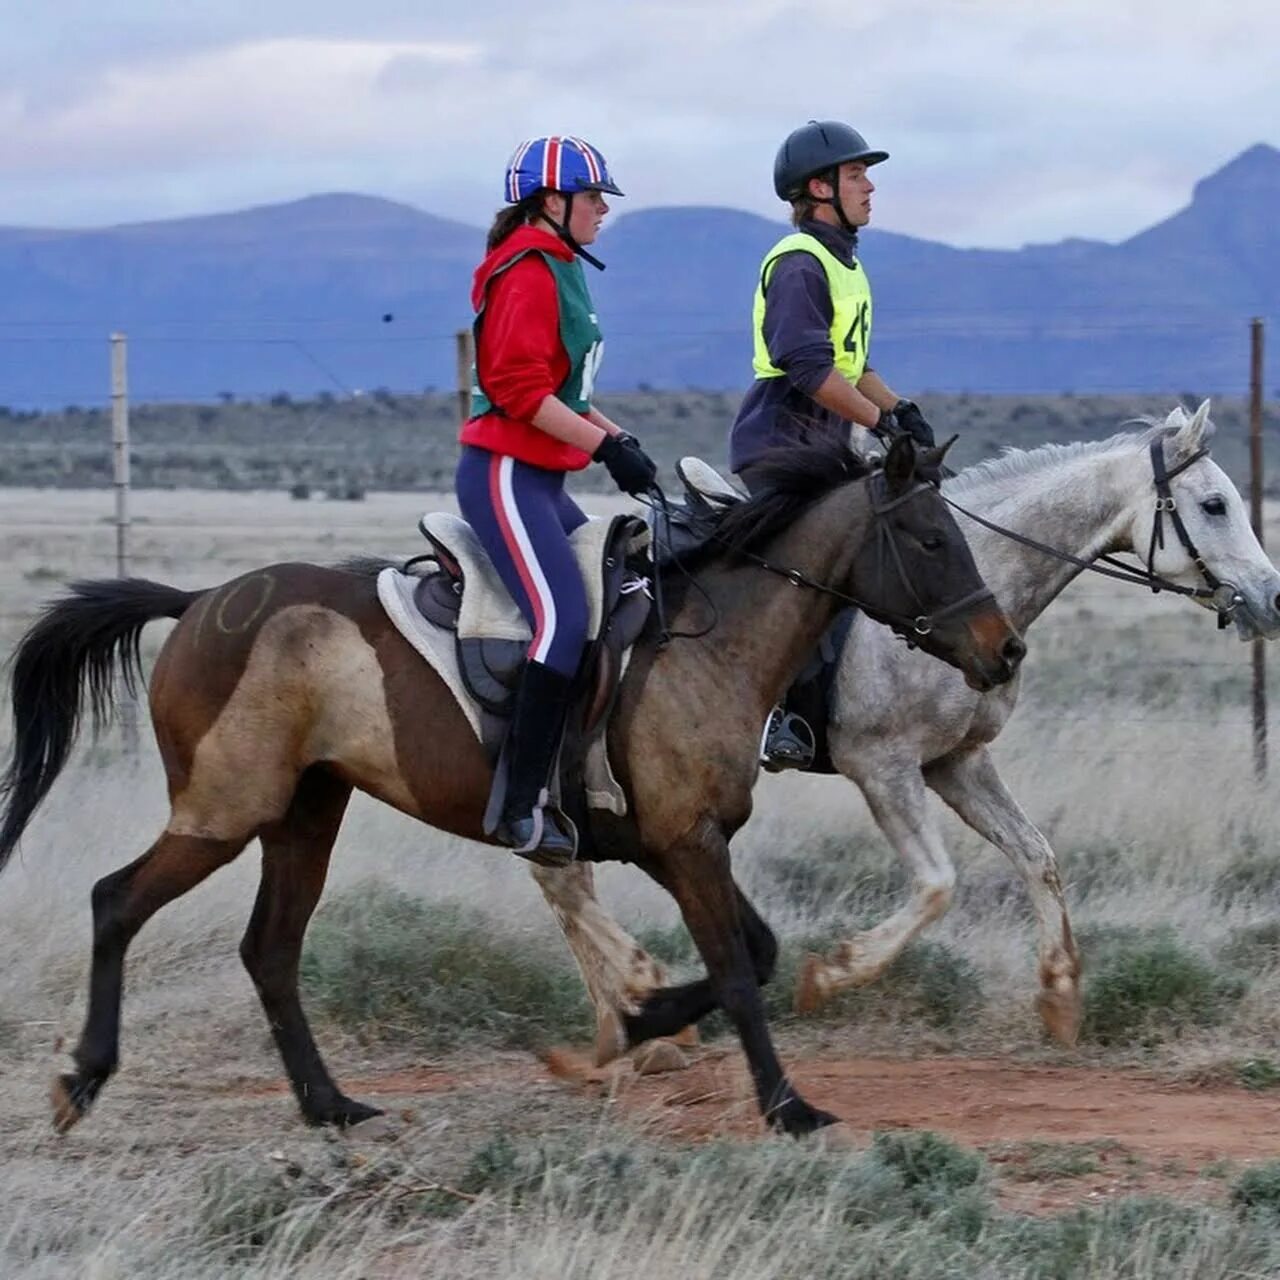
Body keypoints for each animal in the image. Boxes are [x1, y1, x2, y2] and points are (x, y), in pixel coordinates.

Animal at [0, 435, 1018, 1136]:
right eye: (931, 538)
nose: (1004, 651)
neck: (715, 640)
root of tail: (200, 604)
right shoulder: (687, 845)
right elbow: (737, 969)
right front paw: (783, 1104)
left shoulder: (675, 844)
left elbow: (757, 955)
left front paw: (639, 1022)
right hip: (223, 812)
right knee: (116, 901)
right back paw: (82, 1077)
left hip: (305, 816)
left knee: (270, 951)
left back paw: (331, 1105)